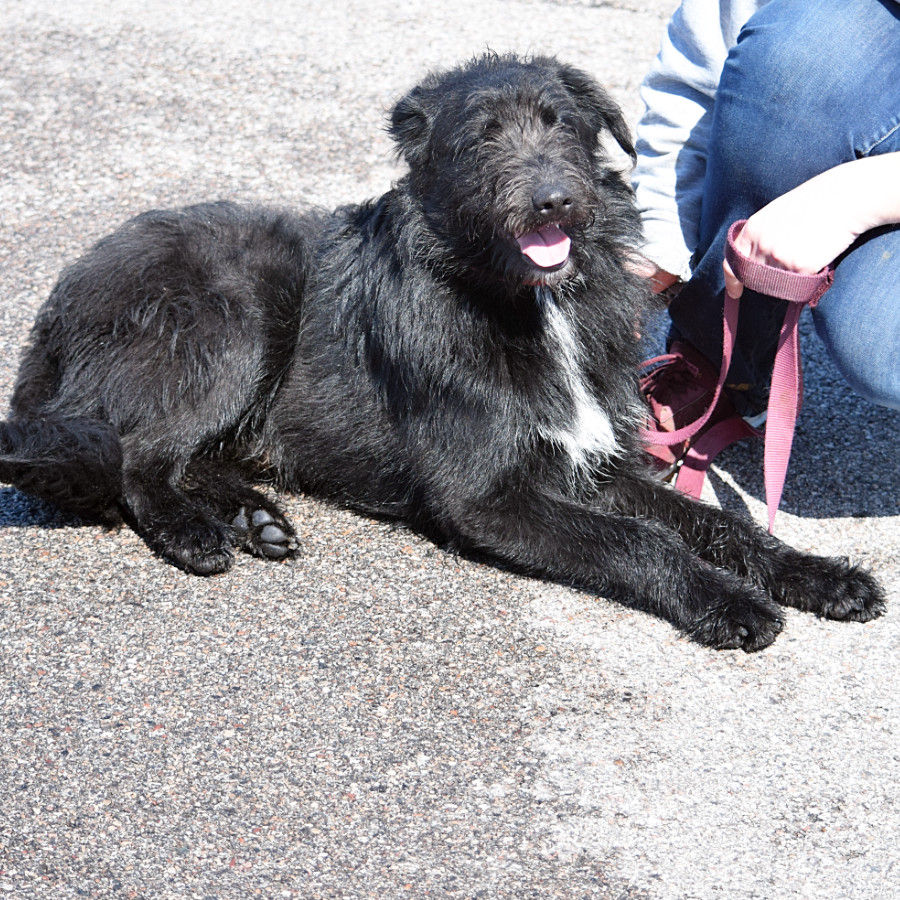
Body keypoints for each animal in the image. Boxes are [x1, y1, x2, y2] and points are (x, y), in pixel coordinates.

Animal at [0, 54, 884, 648]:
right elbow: (639, 541)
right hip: (238, 316)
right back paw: (193, 532)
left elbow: (718, 524)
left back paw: (254, 515)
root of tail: (61, 299)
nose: (553, 200)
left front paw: (816, 574)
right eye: (483, 137)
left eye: (561, 122)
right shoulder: (490, 498)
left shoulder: (597, 466)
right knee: (139, 452)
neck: (524, 302)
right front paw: (730, 603)